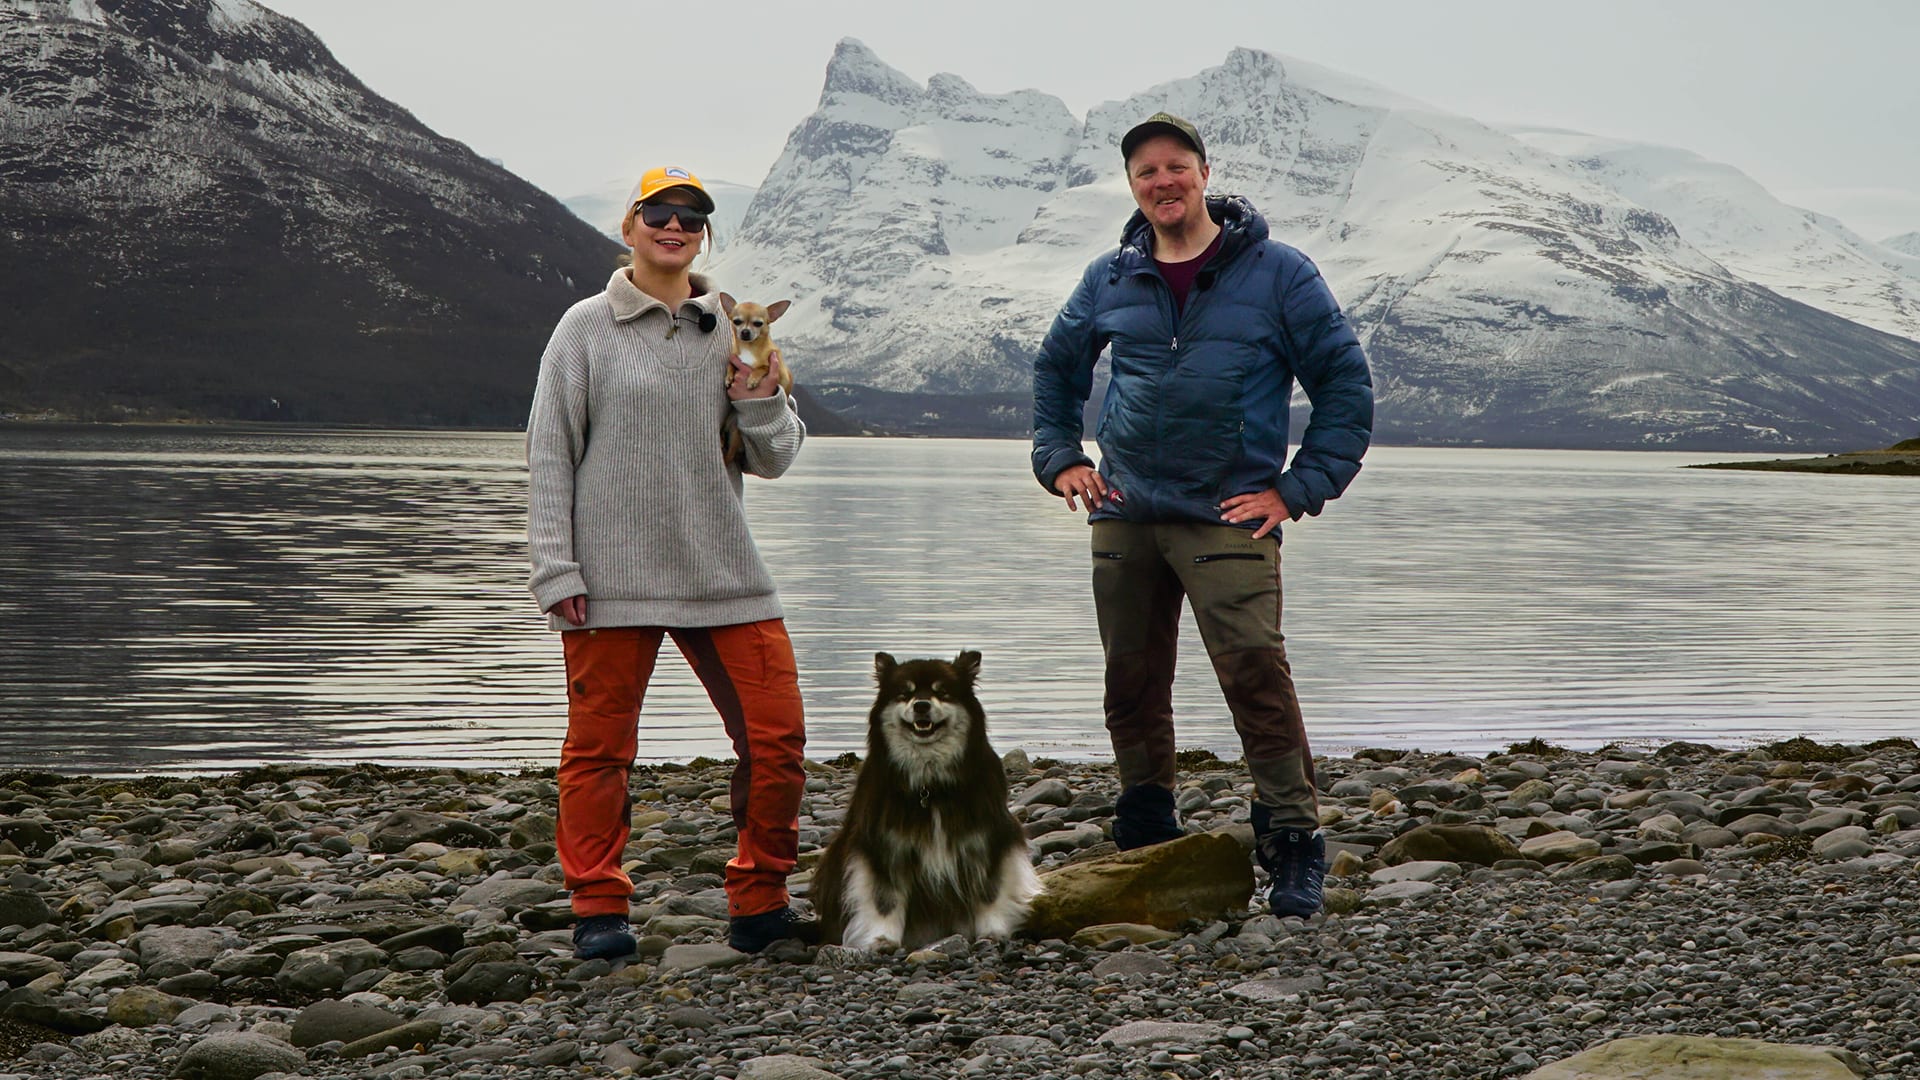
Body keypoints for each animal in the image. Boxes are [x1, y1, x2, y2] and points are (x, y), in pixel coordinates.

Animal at [717, 293, 792, 464]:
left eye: (758, 323)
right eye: (736, 321)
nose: (745, 332)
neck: (749, 348)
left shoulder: (779, 372)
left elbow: (762, 367)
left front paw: (752, 379)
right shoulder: (734, 357)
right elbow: (731, 363)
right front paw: (728, 377)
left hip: (737, 432)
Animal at [811, 651, 1041, 950]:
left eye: (941, 692)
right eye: (905, 694)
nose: (921, 705)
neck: (929, 785)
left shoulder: (986, 840)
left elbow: (989, 891)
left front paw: (992, 932)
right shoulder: (884, 847)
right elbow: (885, 899)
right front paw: (882, 938)